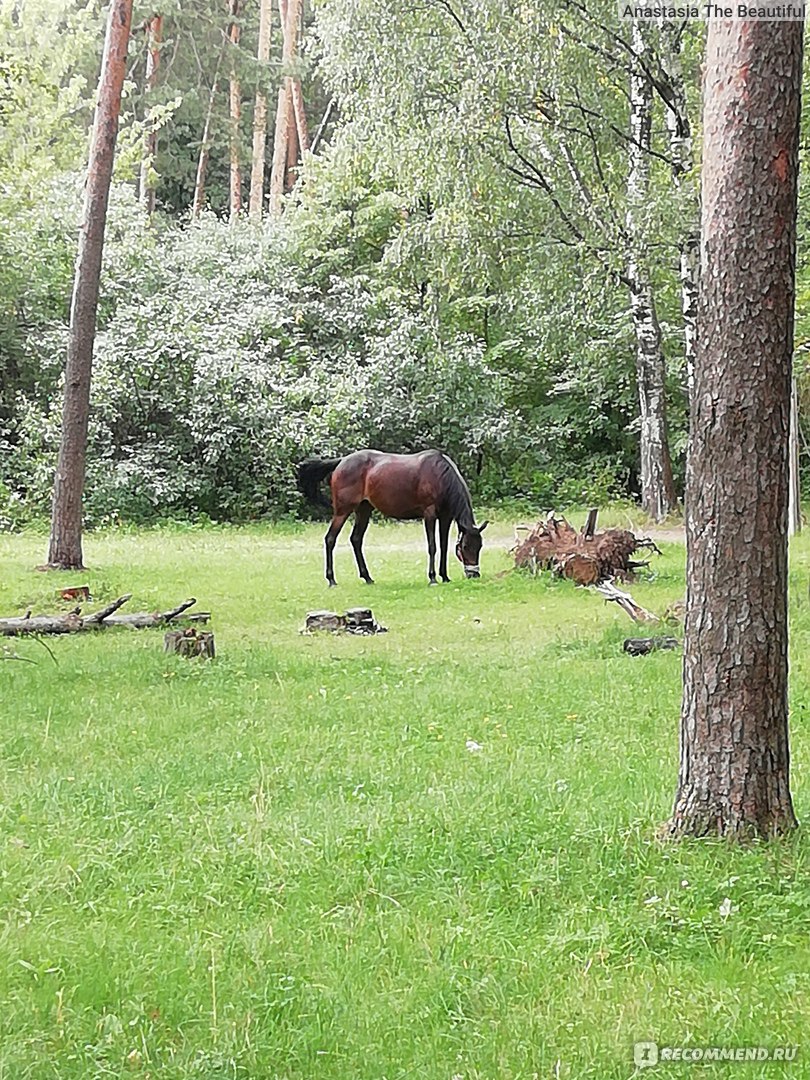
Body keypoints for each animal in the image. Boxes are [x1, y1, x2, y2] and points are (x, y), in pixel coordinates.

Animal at [298, 449, 488, 587]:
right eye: (465, 546)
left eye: (479, 546)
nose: (474, 574)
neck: (440, 475)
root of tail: (342, 461)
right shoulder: (430, 514)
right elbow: (432, 546)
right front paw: (433, 578)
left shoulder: (446, 517)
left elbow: (443, 545)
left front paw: (445, 576)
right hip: (342, 511)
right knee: (330, 539)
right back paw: (331, 580)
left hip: (364, 510)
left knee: (356, 540)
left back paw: (367, 577)